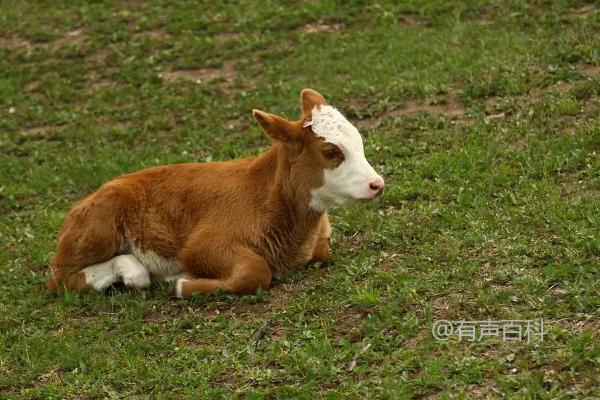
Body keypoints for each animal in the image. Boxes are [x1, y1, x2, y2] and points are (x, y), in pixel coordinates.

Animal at [48, 89, 384, 298]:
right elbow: (255, 271)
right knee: (60, 277)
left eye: (359, 141)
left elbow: (323, 253)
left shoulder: (319, 241)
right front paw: (180, 284)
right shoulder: (202, 246)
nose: (377, 184)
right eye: (330, 152)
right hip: (99, 226)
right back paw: (132, 270)